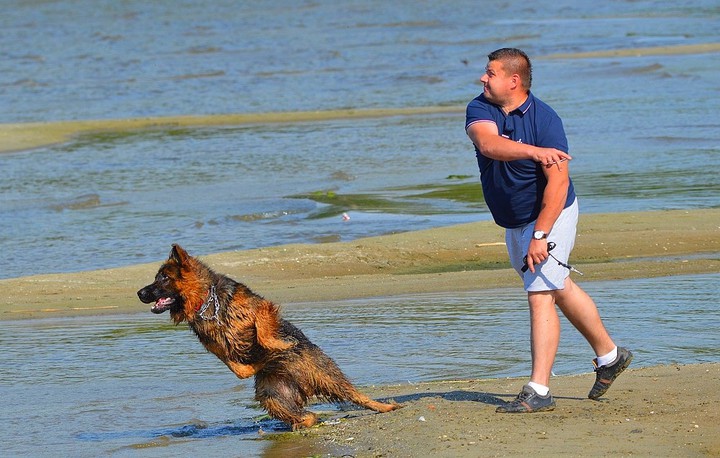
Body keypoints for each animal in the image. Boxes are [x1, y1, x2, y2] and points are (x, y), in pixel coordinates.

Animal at [135, 245, 400, 428]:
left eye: (163, 278)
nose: (139, 293)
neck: (206, 301)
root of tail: (303, 387)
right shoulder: (214, 346)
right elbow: (238, 369)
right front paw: (257, 362)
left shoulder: (261, 308)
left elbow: (263, 330)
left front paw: (276, 344)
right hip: (271, 397)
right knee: (309, 416)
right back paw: (300, 422)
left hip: (327, 376)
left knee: (357, 395)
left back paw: (385, 406)